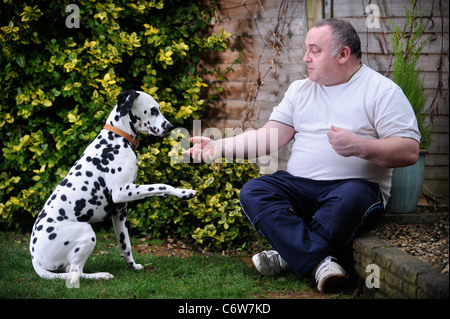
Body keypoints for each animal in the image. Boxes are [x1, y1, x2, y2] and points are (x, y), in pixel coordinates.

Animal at [29, 90, 196, 288]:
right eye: (153, 110)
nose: (170, 127)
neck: (117, 139)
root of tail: (34, 257)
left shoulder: (120, 212)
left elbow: (126, 245)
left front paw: (132, 266)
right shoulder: (122, 192)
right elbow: (161, 184)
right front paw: (183, 192)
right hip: (87, 231)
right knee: (75, 273)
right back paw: (101, 275)